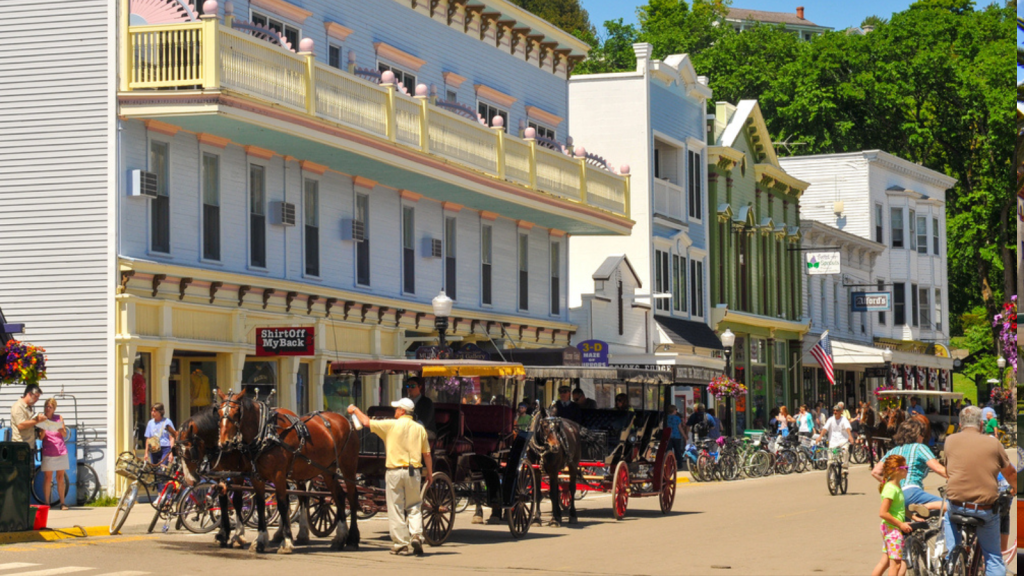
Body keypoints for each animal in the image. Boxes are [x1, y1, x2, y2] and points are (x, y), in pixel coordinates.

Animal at [216, 387, 360, 553]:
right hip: (328, 470)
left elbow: (282, 504)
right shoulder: (256, 478)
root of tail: (345, 420)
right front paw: (260, 540)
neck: (267, 433)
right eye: (219, 412)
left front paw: (286, 541)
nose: (224, 443)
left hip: (348, 466)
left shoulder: (278, 475)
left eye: (236, 412)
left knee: (351, 497)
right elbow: (260, 506)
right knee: (339, 497)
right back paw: (340, 537)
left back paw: (353, 538)